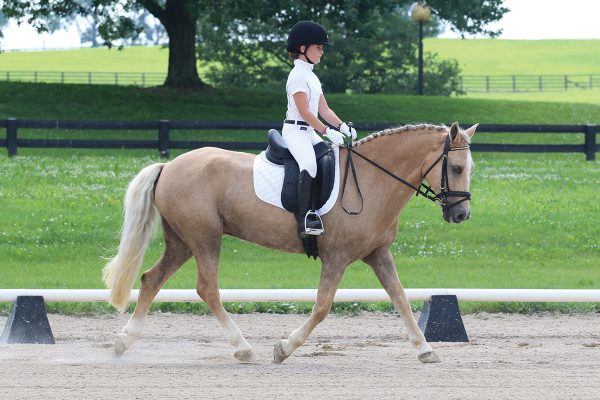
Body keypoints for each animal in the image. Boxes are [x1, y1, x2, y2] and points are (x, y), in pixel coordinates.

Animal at [103, 121, 478, 362]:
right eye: (457, 168)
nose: (461, 215)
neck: (373, 179)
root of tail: (169, 165)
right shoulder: (336, 257)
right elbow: (322, 307)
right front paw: (284, 348)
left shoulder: (378, 254)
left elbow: (400, 298)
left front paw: (426, 349)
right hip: (205, 238)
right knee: (207, 288)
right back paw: (242, 348)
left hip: (182, 241)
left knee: (151, 279)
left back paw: (123, 341)